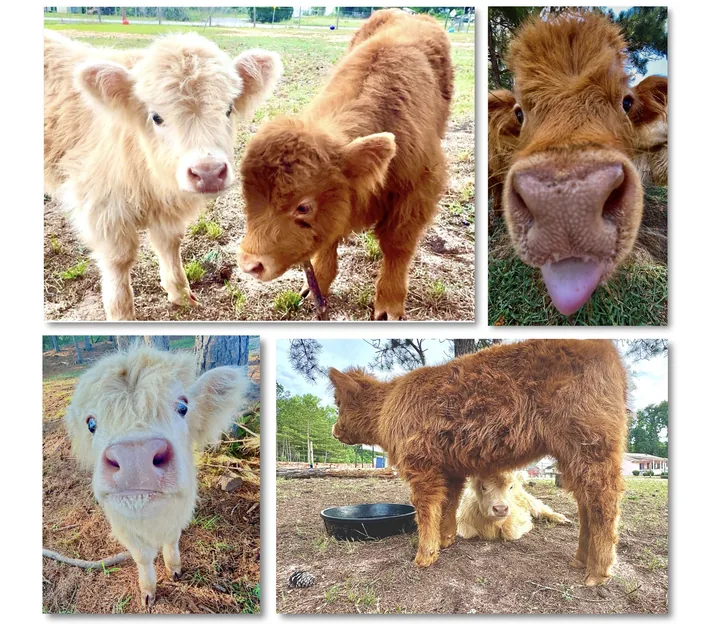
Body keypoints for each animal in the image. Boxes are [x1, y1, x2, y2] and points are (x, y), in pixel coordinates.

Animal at [44, 30, 282, 320]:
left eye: (228, 109)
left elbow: (169, 244)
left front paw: (181, 294)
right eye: (156, 117)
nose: (208, 172)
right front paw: (121, 315)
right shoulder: (101, 207)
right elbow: (118, 261)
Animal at [64, 347, 248, 606]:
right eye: (91, 423)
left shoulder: (180, 511)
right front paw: (148, 591)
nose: (135, 459)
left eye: (183, 407)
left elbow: (172, 539)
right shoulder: (123, 525)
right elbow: (142, 557)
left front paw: (174, 569)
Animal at [236, 8, 453, 320]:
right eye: (247, 197)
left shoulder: (418, 191)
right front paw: (316, 285)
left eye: (303, 206)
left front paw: (389, 305)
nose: (250, 264)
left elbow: (397, 246)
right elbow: (328, 240)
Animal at [330, 340, 627, 586]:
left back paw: (597, 573)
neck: (387, 407)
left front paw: (424, 557)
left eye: (338, 402)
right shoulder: (449, 469)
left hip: (593, 447)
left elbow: (425, 509)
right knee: (585, 503)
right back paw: (579, 560)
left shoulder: (422, 466)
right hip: (573, 457)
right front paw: (446, 541)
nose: (334, 430)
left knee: (604, 503)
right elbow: (448, 504)